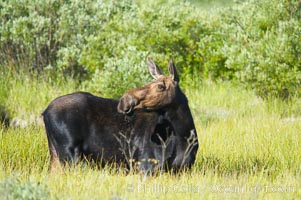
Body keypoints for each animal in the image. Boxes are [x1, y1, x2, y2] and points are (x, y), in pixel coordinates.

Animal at [41, 57, 197, 173]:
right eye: (149, 82)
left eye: (160, 86)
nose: (124, 101)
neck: (183, 135)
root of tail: (45, 112)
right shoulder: (144, 165)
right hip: (69, 154)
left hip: (56, 155)